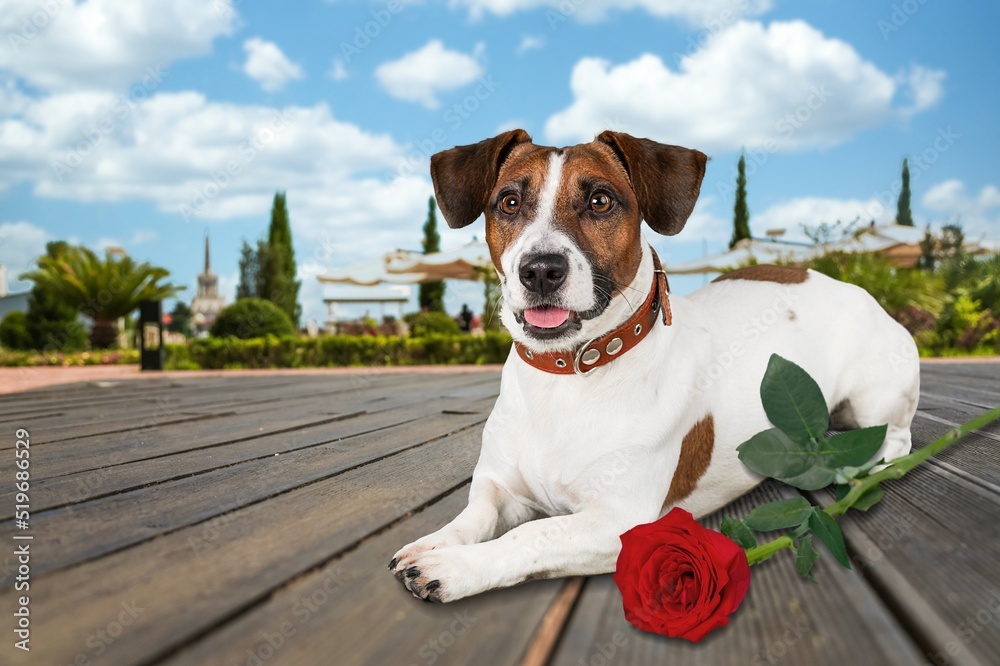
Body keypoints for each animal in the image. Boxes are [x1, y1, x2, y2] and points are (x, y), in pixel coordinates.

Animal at [386, 130, 916, 600]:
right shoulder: (501, 488)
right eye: (510, 203)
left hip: (878, 396)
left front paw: (455, 568)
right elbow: (474, 517)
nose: (539, 270)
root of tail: (845, 283)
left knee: (897, 438)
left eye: (601, 200)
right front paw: (435, 543)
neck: (568, 376)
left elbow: (530, 535)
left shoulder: (618, 522)